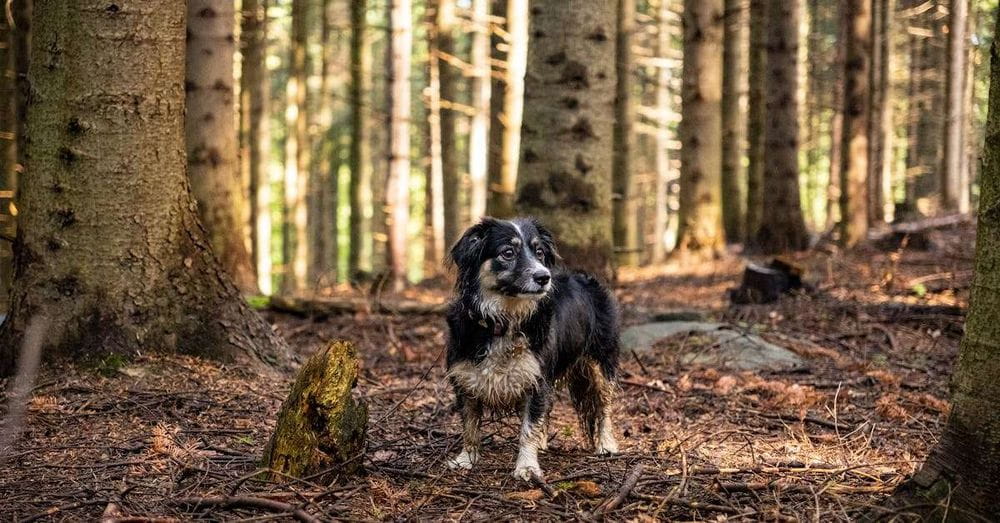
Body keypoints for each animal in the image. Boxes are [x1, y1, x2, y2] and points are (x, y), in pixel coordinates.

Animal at [444, 218, 616, 484]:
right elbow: (470, 425)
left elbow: (528, 427)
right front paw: (466, 459)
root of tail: (585, 277)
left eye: (539, 252)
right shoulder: (465, 379)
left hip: (600, 363)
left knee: (604, 406)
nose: (544, 277)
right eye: (508, 253)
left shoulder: (536, 379)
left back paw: (606, 444)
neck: (505, 320)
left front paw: (527, 467)